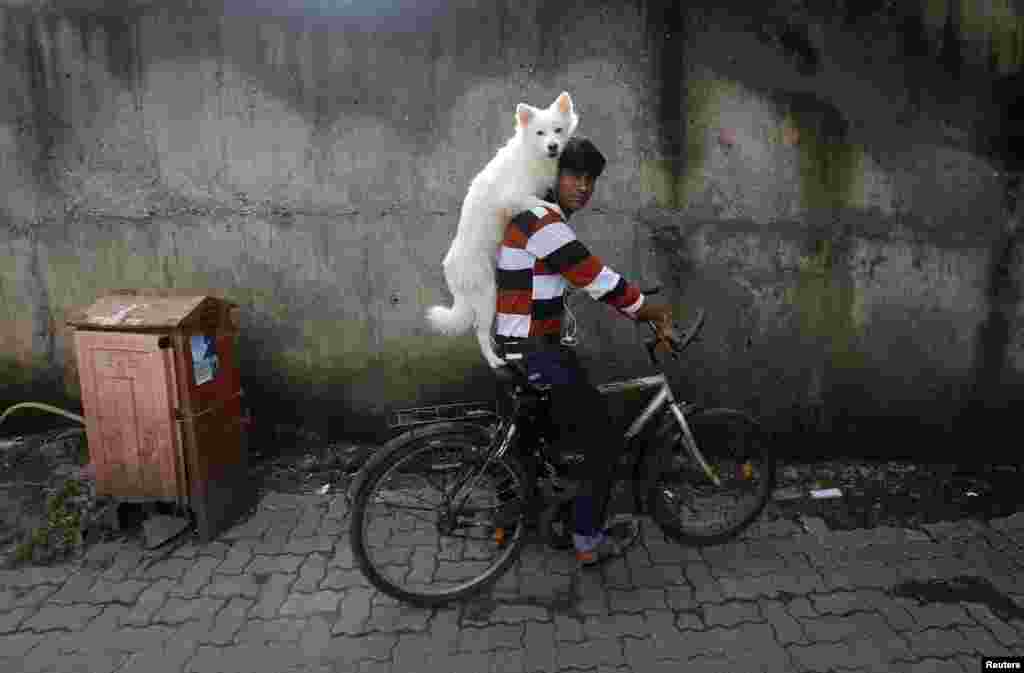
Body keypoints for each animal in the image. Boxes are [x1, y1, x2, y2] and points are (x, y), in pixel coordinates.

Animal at [425, 91, 585, 364]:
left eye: (558, 130)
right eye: (540, 133)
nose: (553, 146)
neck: (531, 154)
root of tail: (450, 267)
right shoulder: (512, 198)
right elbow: (541, 203)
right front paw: (556, 209)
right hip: (488, 295)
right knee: (479, 331)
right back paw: (493, 359)